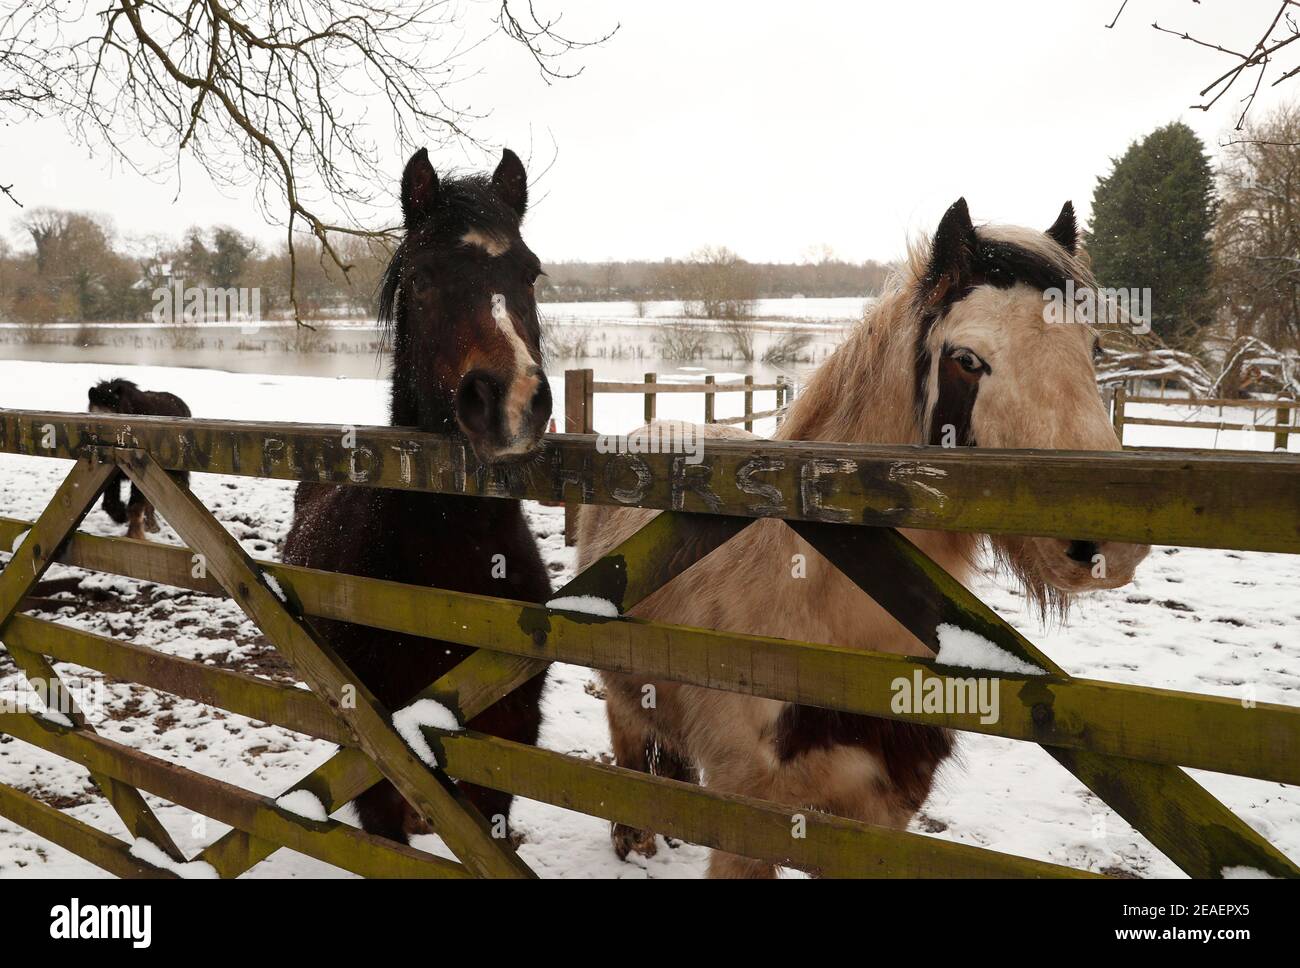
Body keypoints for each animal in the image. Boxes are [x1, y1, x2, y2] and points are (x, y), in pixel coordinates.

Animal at [87, 376, 189, 540]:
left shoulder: (142, 473)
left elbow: (135, 506)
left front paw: (134, 535)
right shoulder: (112, 473)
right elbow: (110, 503)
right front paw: (121, 516)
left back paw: (152, 525)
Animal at [577, 196, 1149, 878]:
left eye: (1094, 349)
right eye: (966, 358)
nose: (1107, 547)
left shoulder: (884, 812)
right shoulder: (745, 817)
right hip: (622, 698)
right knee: (628, 748)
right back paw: (632, 837)